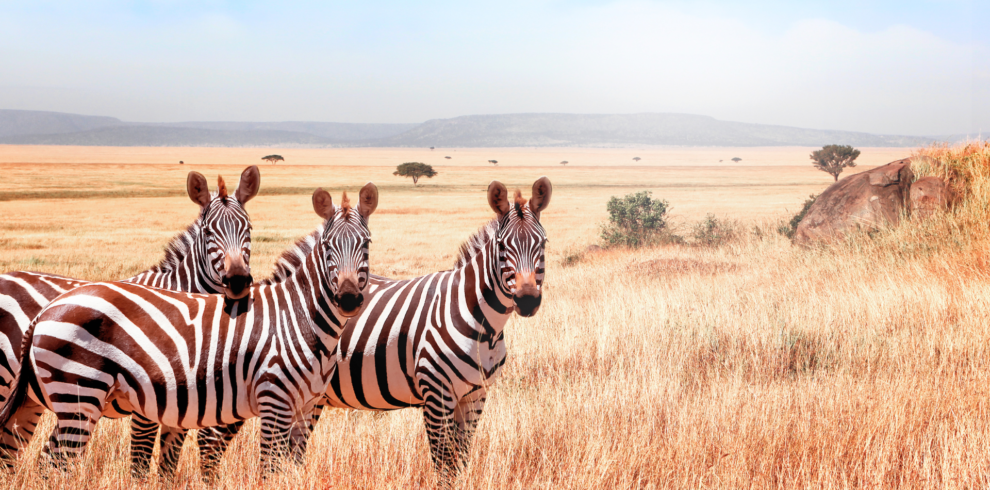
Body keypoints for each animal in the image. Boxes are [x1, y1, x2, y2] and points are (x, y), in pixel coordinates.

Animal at [194, 177, 552, 486]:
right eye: (503, 247)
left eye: (544, 244)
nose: (528, 300)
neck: (483, 325)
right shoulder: (437, 391)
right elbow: (443, 463)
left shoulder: (475, 396)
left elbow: (460, 460)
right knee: (211, 440)